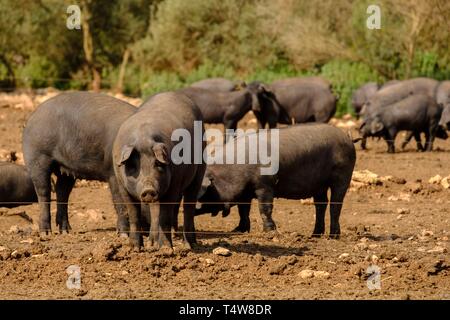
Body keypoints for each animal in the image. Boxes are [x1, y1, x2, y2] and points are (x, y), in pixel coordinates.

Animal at [22, 92, 135, 235]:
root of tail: (31, 117)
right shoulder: (112, 173)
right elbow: (120, 201)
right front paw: (124, 235)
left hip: (65, 169)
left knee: (62, 191)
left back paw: (65, 231)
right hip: (37, 157)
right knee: (43, 192)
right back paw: (45, 233)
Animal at [112, 91, 206, 249]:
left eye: (157, 163)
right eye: (133, 166)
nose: (148, 189)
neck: (143, 138)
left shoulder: (174, 183)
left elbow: (166, 215)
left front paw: (166, 249)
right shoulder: (122, 185)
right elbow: (134, 213)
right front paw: (136, 248)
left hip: (200, 168)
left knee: (189, 205)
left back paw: (190, 245)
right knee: (156, 209)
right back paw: (152, 242)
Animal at [195, 124, 356, 238]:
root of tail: (347, 138)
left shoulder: (265, 185)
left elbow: (264, 208)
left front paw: (269, 232)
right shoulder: (245, 193)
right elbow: (243, 211)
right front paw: (238, 230)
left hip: (343, 175)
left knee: (336, 204)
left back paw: (333, 236)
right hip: (319, 185)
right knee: (321, 205)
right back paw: (315, 235)